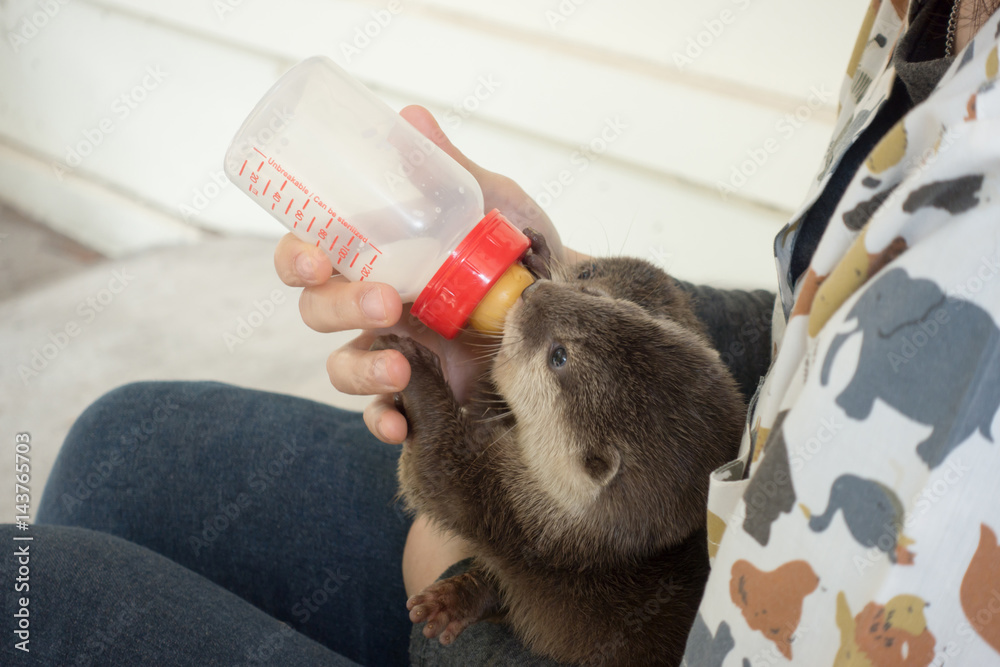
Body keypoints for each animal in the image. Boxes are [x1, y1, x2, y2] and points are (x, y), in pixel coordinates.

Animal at [372, 249, 748, 664]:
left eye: (559, 356)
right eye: (592, 294)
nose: (531, 291)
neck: (592, 548)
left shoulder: (512, 515)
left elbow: (435, 466)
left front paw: (414, 366)